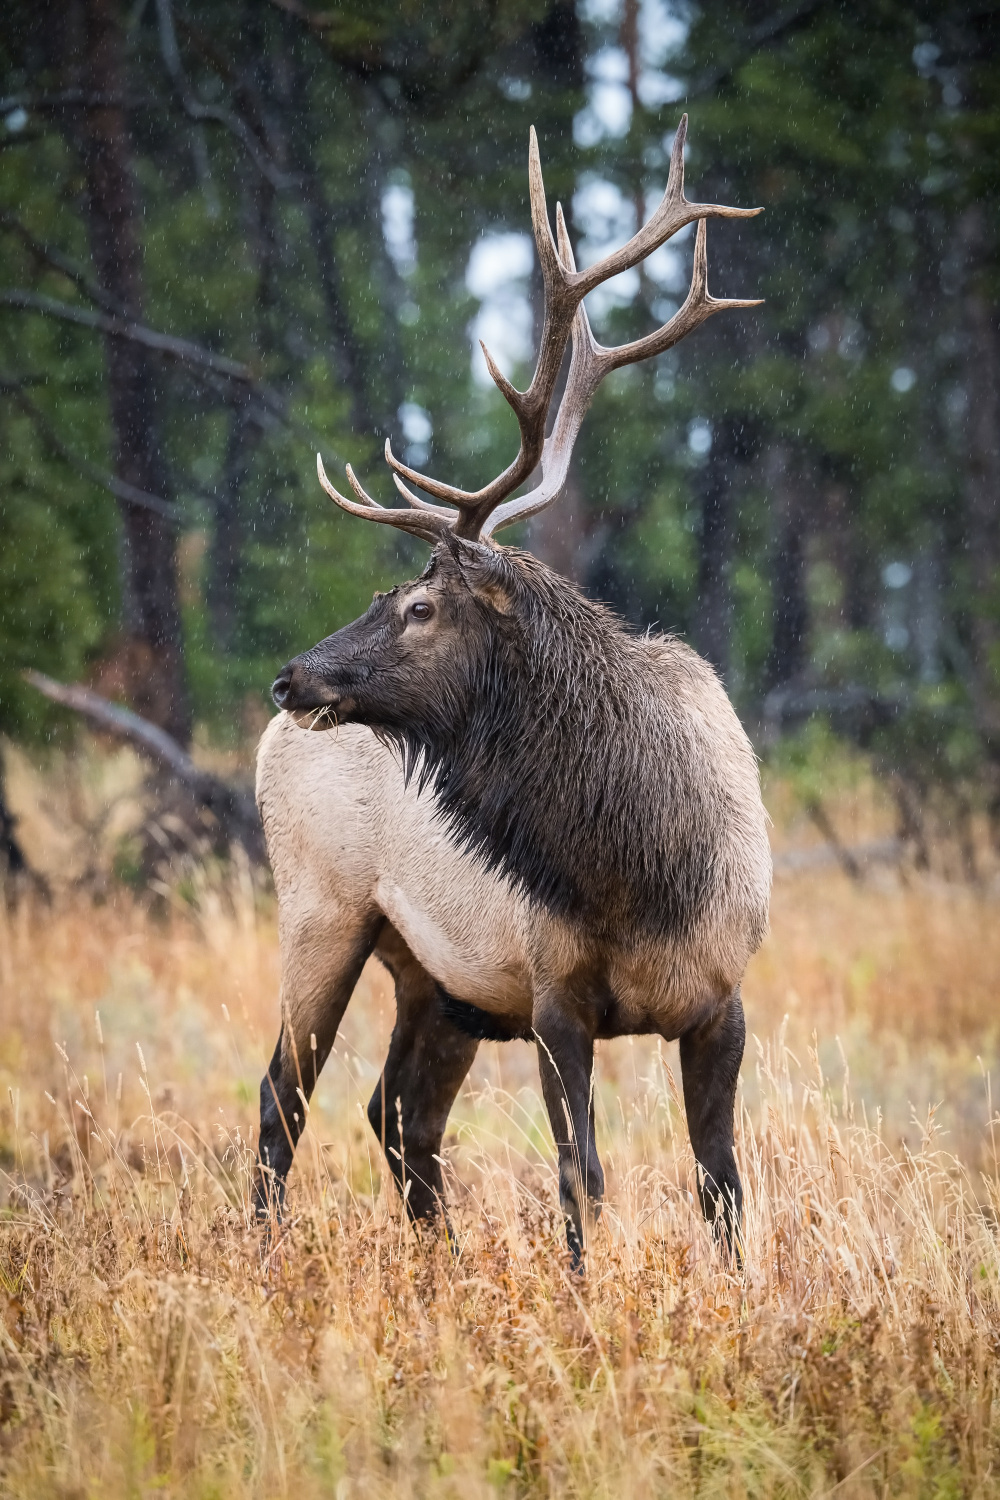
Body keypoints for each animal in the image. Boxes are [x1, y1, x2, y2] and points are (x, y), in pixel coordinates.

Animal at [254, 120, 773, 1266]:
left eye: (418, 607)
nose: (291, 675)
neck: (639, 869)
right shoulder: (551, 997)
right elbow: (582, 1177)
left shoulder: (722, 998)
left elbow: (720, 1182)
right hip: (322, 911)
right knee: (282, 1101)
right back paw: (257, 1262)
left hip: (434, 980)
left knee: (397, 1115)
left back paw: (440, 1270)